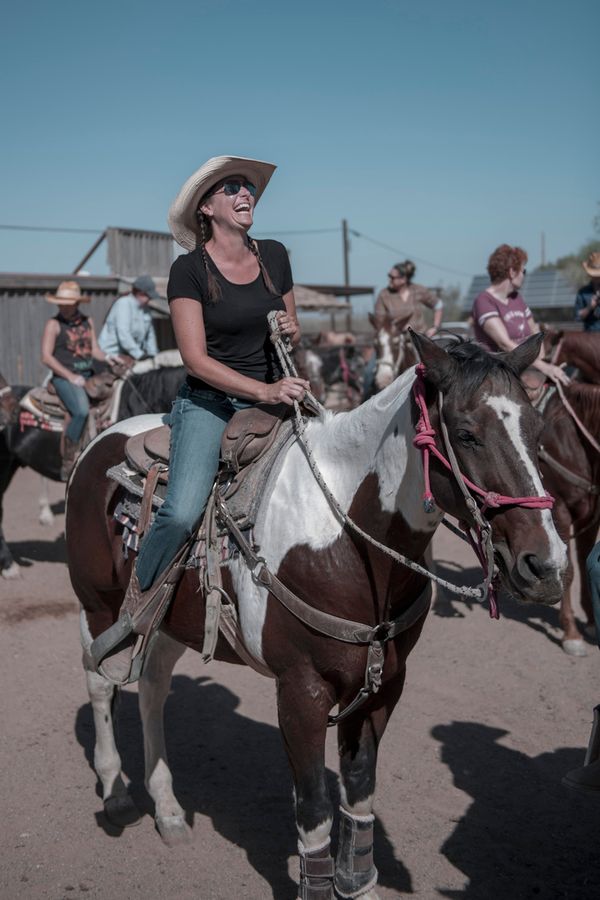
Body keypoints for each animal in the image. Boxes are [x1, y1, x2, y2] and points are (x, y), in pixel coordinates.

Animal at [65, 336, 568, 900]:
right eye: (465, 434)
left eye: (538, 430)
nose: (547, 565)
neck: (345, 535)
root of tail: (103, 439)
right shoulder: (301, 691)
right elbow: (314, 809)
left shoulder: (385, 684)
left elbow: (359, 792)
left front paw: (358, 882)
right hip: (99, 603)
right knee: (99, 679)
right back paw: (116, 794)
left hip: (171, 618)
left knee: (152, 687)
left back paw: (169, 810)